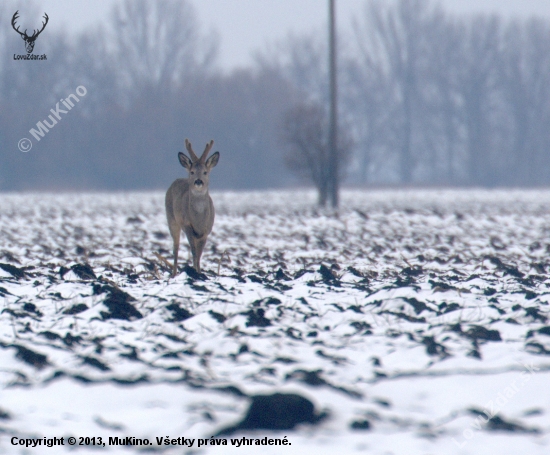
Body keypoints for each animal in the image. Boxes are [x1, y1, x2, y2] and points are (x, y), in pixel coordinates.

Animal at [166, 139, 220, 276]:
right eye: (192, 172)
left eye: (205, 172)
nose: (198, 181)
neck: (199, 220)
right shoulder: (187, 225)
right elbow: (194, 252)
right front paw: (195, 272)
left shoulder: (206, 231)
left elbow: (199, 255)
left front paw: (199, 272)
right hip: (172, 220)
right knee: (175, 247)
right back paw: (174, 273)